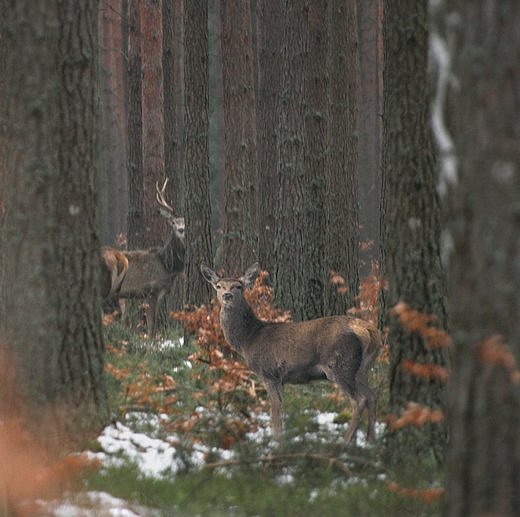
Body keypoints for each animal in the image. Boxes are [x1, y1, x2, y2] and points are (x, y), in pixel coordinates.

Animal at [101, 179, 185, 336]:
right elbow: (152, 325)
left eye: (185, 223)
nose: (181, 230)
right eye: (173, 223)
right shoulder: (152, 290)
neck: (166, 265)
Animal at [200, 262, 382, 444]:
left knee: (359, 400)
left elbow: (275, 411)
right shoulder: (281, 378)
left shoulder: (268, 372)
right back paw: (370, 440)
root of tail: (370, 331)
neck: (249, 339)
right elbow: (282, 408)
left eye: (239, 286)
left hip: (340, 364)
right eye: (219, 286)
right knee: (372, 396)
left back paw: (345, 441)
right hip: (361, 368)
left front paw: (276, 442)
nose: (227, 295)